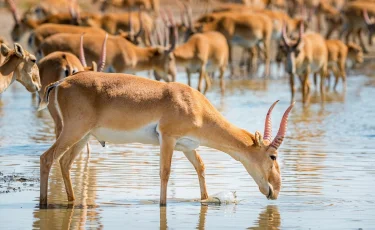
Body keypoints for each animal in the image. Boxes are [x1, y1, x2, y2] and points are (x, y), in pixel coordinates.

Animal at [39, 69, 296, 205]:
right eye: (273, 156)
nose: (275, 190)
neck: (196, 106)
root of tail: (60, 83)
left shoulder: (188, 146)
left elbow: (201, 167)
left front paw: (206, 199)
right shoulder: (168, 138)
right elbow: (165, 172)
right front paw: (162, 204)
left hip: (84, 136)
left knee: (64, 162)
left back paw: (71, 201)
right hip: (74, 131)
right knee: (47, 158)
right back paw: (43, 204)